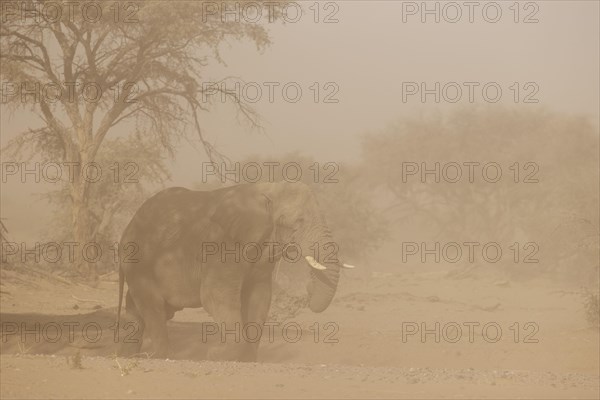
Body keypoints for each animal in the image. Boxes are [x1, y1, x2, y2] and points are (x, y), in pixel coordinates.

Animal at [115, 181, 354, 360]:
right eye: (297, 221)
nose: (309, 287)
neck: (266, 188)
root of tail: (126, 228)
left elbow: (259, 297)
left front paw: (247, 359)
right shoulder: (222, 244)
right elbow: (215, 295)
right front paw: (217, 355)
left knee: (142, 306)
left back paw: (128, 355)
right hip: (140, 260)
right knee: (153, 305)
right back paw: (160, 356)